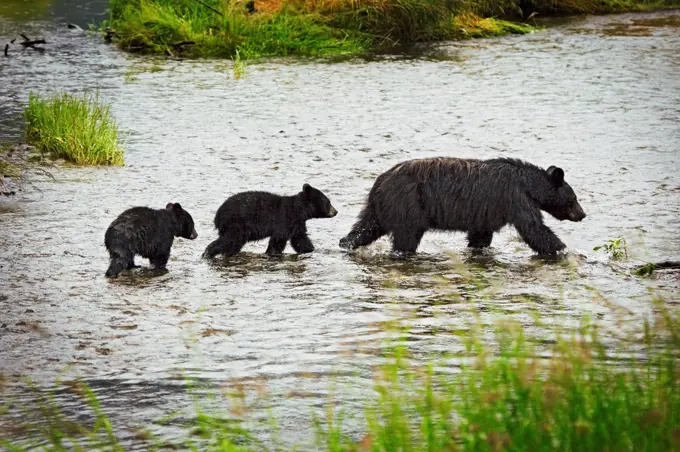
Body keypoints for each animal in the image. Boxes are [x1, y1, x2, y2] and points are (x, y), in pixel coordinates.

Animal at [202, 183, 340, 260]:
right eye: (327, 202)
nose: (336, 211)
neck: (298, 210)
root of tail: (217, 216)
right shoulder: (285, 219)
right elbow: (278, 239)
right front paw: (272, 253)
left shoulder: (297, 223)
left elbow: (300, 239)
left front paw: (311, 249)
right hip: (236, 224)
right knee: (229, 241)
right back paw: (208, 253)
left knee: (233, 244)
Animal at [340, 157, 584, 258]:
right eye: (573, 198)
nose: (582, 214)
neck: (528, 185)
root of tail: (380, 180)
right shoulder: (514, 198)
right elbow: (533, 228)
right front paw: (565, 250)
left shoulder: (486, 214)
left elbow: (480, 236)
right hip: (407, 206)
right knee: (406, 238)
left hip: (381, 208)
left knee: (365, 228)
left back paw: (346, 243)